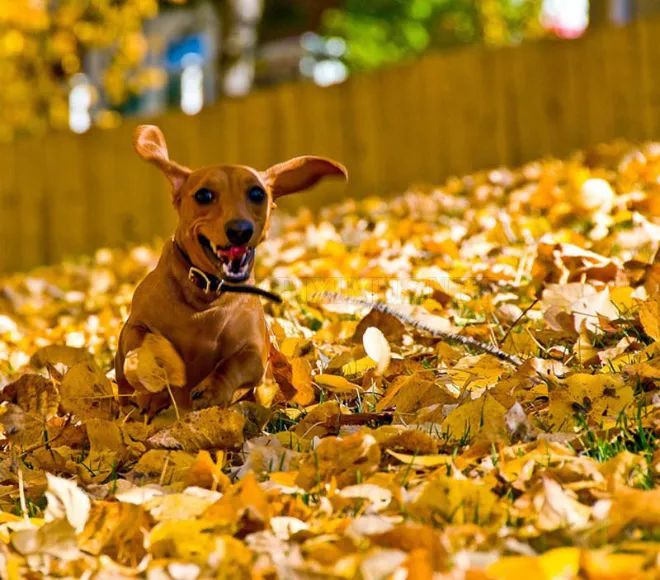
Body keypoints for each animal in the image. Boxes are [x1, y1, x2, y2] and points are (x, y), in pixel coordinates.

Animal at [115, 125, 348, 416]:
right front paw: (163, 370)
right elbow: (146, 341)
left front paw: (211, 389)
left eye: (257, 194)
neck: (205, 296)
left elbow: (234, 363)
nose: (239, 230)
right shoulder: (134, 327)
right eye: (203, 195)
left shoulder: (254, 350)